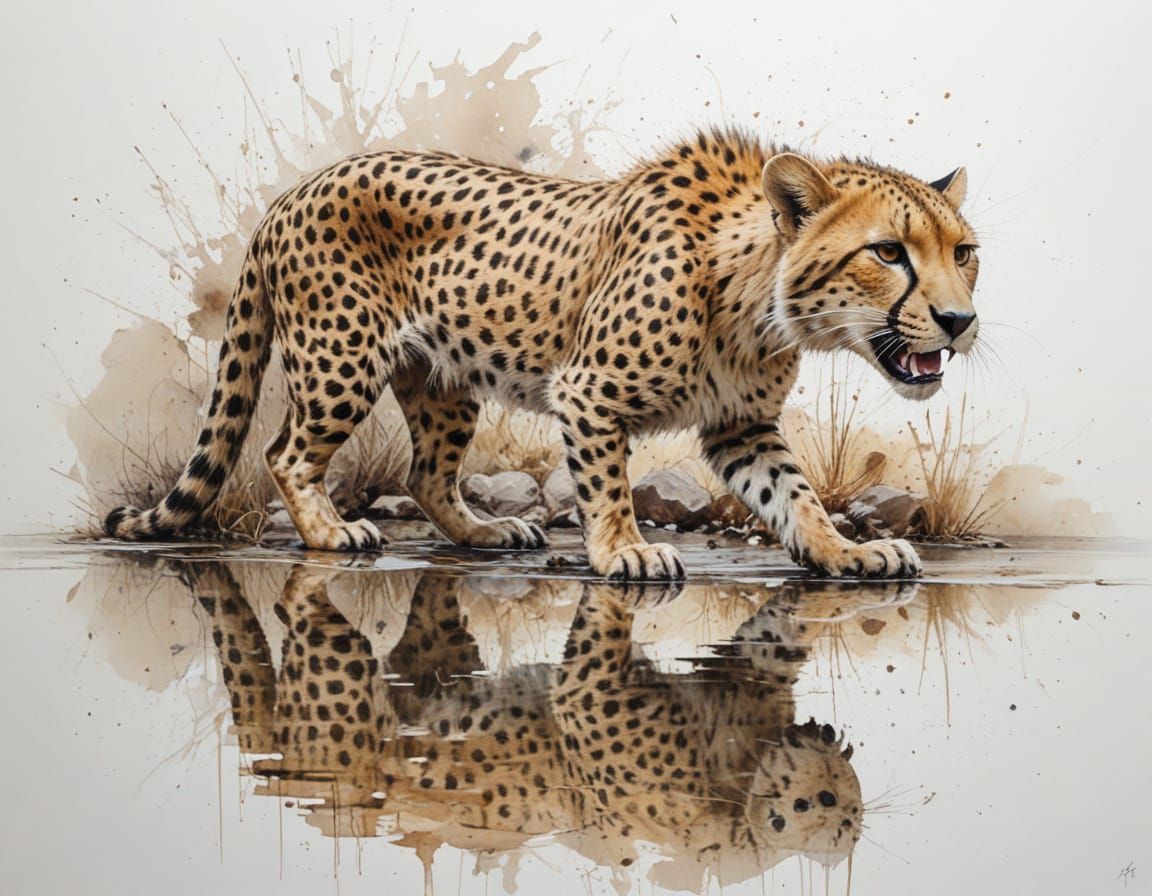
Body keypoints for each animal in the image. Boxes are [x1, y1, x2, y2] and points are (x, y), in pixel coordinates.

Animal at [105, 127, 979, 580]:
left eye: (964, 252)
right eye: (889, 252)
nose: (960, 320)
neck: (756, 298)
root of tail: (294, 191)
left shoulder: (741, 427)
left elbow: (793, 495)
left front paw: (846, 550)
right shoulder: (587, 392)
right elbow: (608, 484)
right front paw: (627, 551)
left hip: (443, 380)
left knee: (426, 475)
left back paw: (484, 533)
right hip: (342, 359)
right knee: (286, 453)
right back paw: (332, 534)